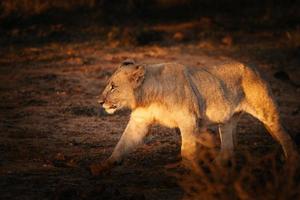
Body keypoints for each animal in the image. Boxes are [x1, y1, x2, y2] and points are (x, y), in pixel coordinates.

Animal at [89, 59, 298, 175]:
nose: (99, 101)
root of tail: (253, 67)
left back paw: (291, 164)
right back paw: (216, 166)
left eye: (113, 87)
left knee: (286, 137)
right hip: (227, 120)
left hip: (267, 113)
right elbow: (122, 143)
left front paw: (190, 172)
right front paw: (104, 166)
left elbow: (187, 150)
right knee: (228, 147)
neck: (148, 96)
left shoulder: (188, 120)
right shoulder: (140, 122)